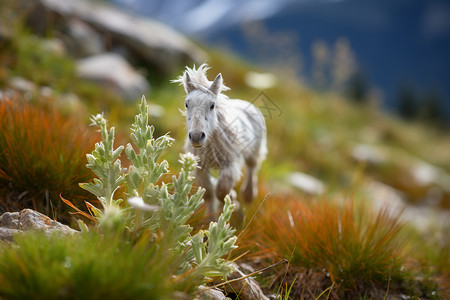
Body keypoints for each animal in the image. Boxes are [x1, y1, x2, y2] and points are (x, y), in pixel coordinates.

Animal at [173, 63, 266, 213]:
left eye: (212, 105)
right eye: (186, 104)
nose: (196, 136)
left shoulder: (229, 164)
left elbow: (221, 191)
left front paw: (232, 202)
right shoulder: (201, 168)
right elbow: (209, 193)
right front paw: (211, 216)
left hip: (255, 151)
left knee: (252, 168)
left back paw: (248, 195)